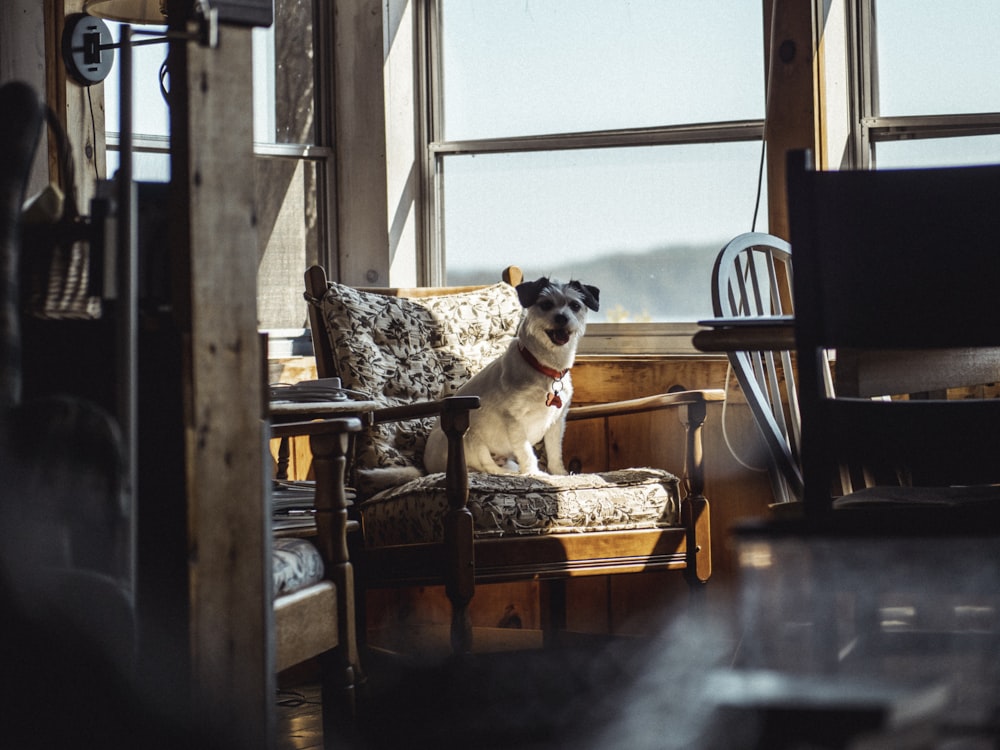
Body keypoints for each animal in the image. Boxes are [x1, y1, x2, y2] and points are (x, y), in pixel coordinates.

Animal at [424, 276, 600, 476]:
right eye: (546, 304)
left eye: (575, 305)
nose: (562, 317)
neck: (542, 366)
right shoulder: (514, 419)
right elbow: (526, 451)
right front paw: (533, 473)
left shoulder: (557, 422)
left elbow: (554, 452)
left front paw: (559, 474)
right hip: (471, 438)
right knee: (488, 467)